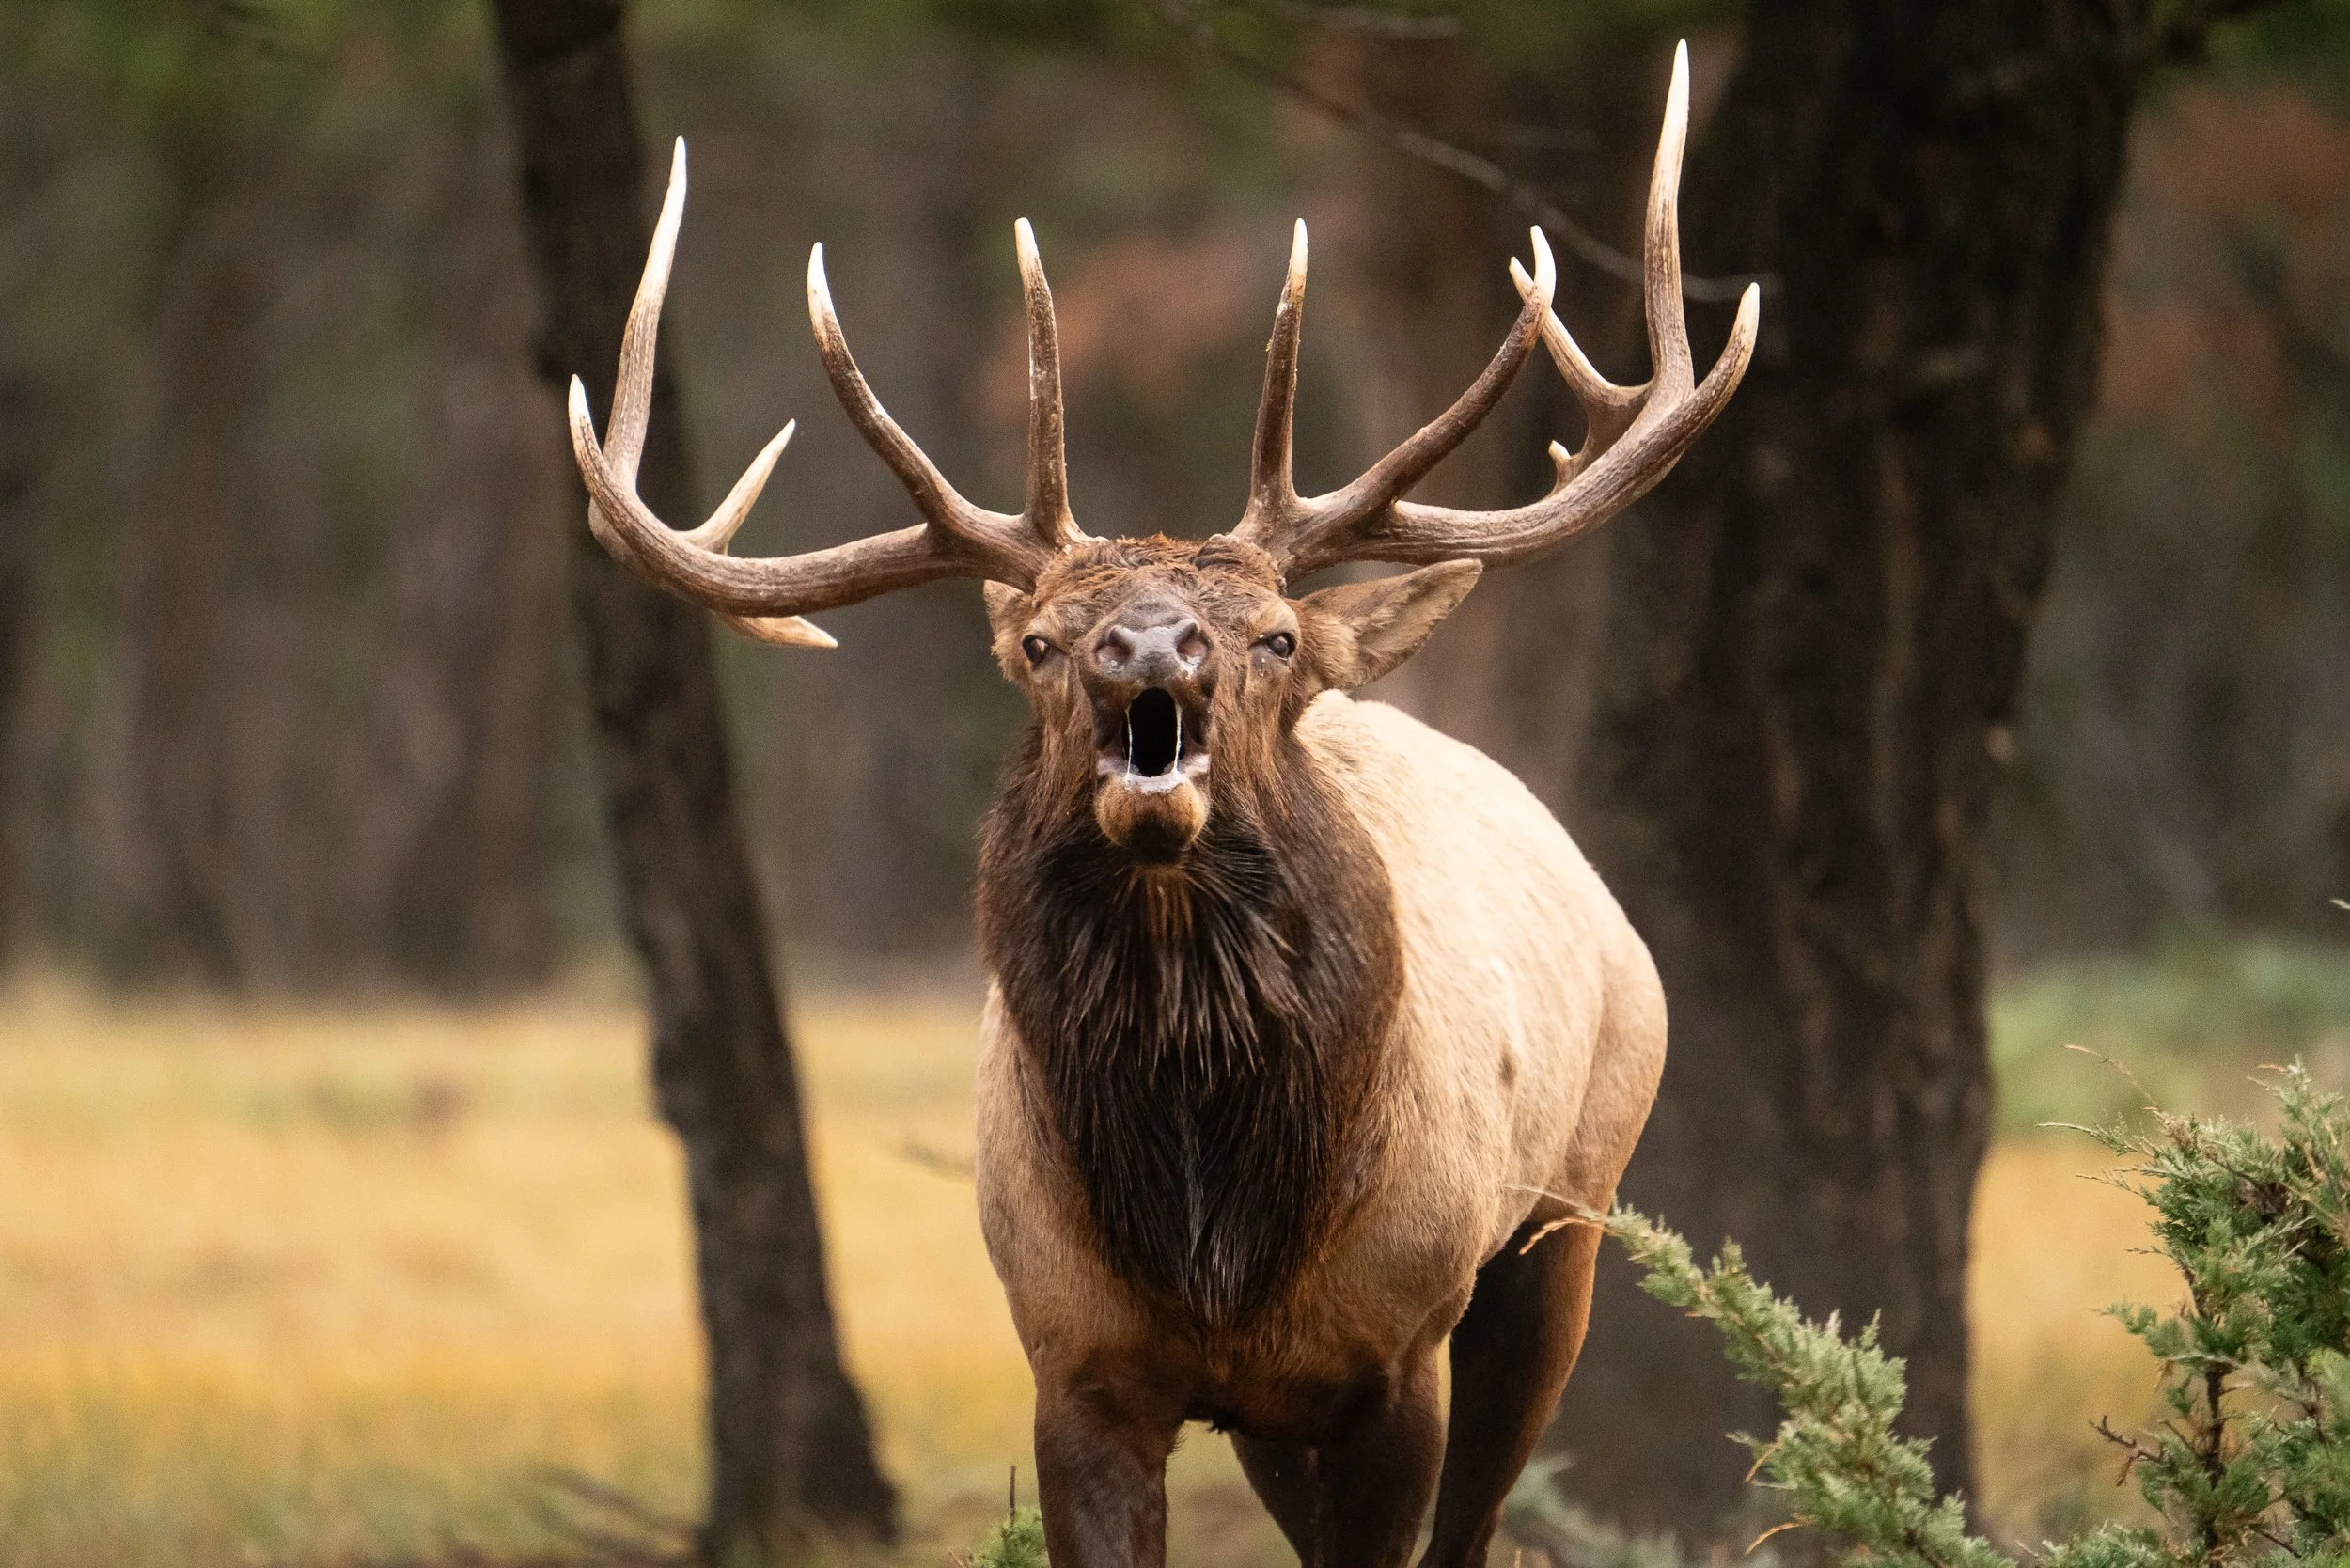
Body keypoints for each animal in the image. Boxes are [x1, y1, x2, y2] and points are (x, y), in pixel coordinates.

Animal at [566, 41, 1755, 1568]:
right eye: (1038, 643)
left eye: (1275, 637)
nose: (1148, 647)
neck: (1214, 1239)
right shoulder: (1076, 1361)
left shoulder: (1397, 1355)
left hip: (1567, 1218)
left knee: (1489, 1502)